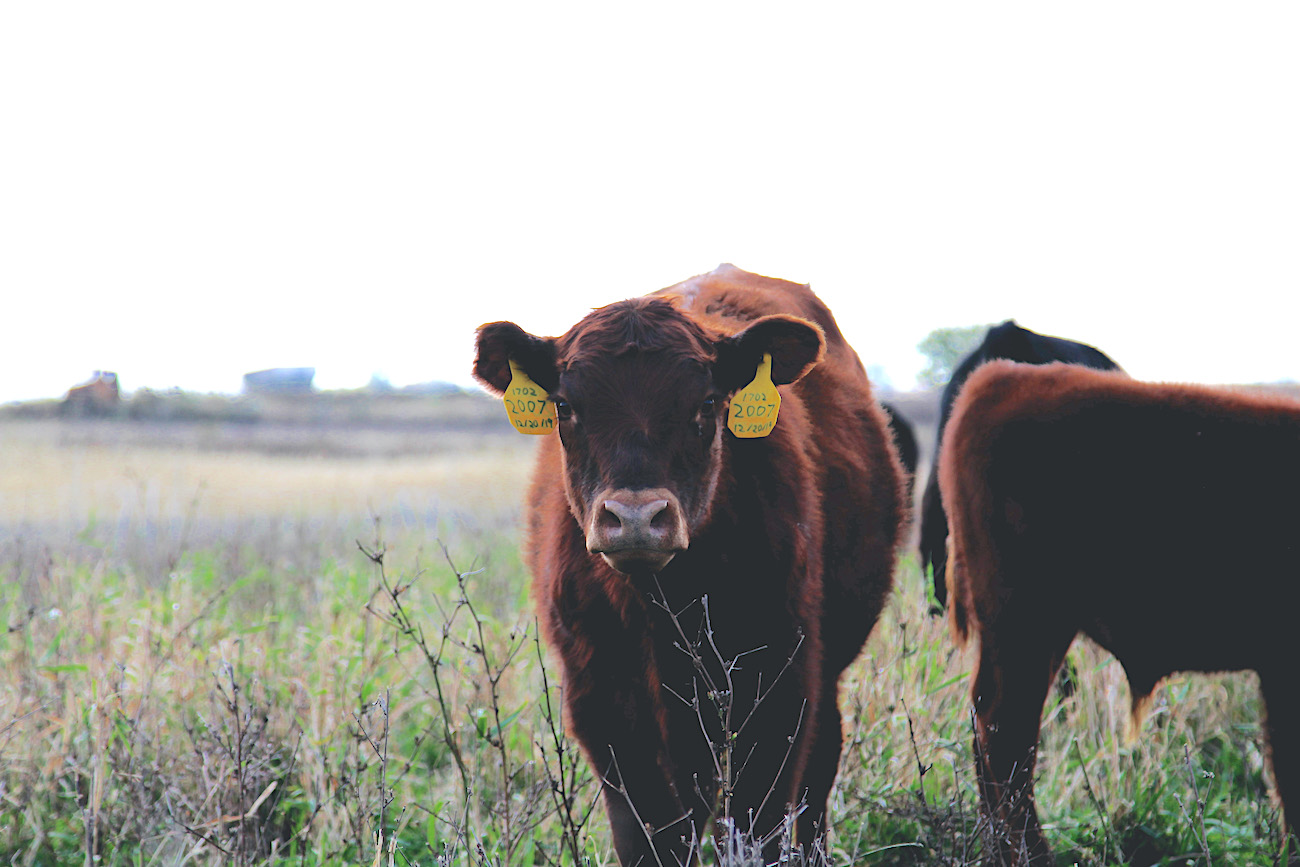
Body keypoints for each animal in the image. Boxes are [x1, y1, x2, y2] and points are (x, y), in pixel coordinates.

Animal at [473, 266, 909, 867]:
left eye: (706, 404)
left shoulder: (780, 689)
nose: (635, 518)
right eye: (565, 406)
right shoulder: (603, 702)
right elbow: (653, 831)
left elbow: (756, 823)